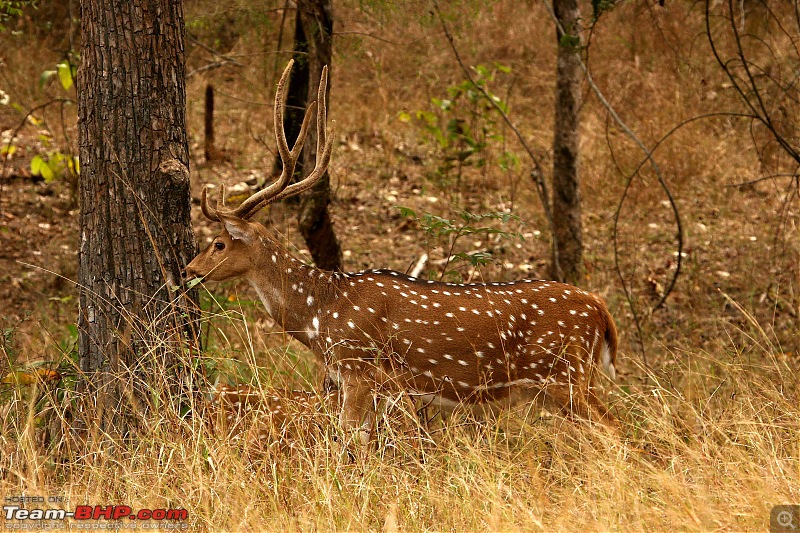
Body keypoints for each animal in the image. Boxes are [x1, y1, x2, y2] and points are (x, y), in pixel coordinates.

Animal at [186, 60, 620, 446]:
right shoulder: (377, 384)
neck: (319, 314)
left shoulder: (358, 368)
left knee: (614, 432)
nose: (190, 268)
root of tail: (601, 309)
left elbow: (347, 438)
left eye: (219, 243)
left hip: (562, 374)